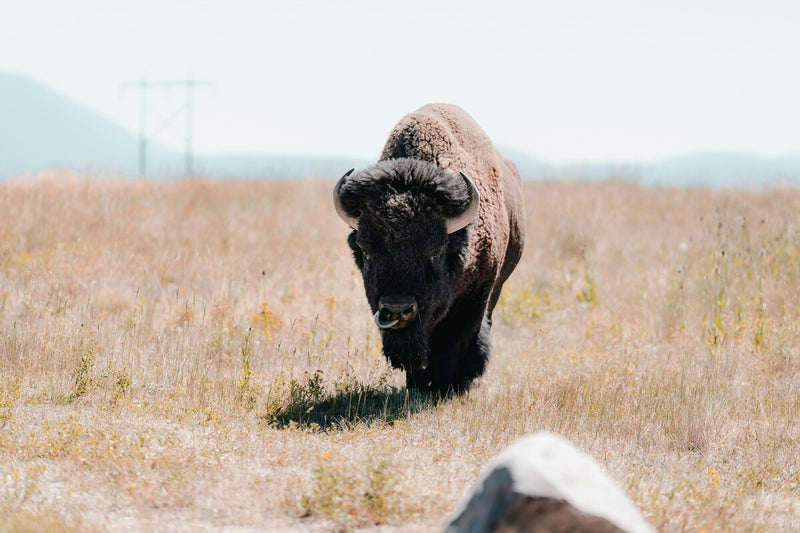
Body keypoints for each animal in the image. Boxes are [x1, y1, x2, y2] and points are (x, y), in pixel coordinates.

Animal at [333, 103, 525, 394]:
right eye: (367, 253)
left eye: (435, 253)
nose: (397, 309)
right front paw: (419, 384)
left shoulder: (477, 295)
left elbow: (456, 340)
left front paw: (448, 386)